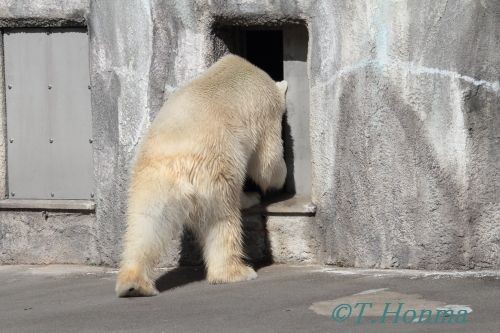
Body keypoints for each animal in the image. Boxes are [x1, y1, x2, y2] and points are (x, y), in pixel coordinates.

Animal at [115, 53, 288, 296]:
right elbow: (267, 161)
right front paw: (278, 181)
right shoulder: (265, 110)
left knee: (146, 224)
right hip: (216, 172)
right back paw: (236, 271)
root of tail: (181, 164)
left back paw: (133, 283)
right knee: (221, 220)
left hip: (152, 179)